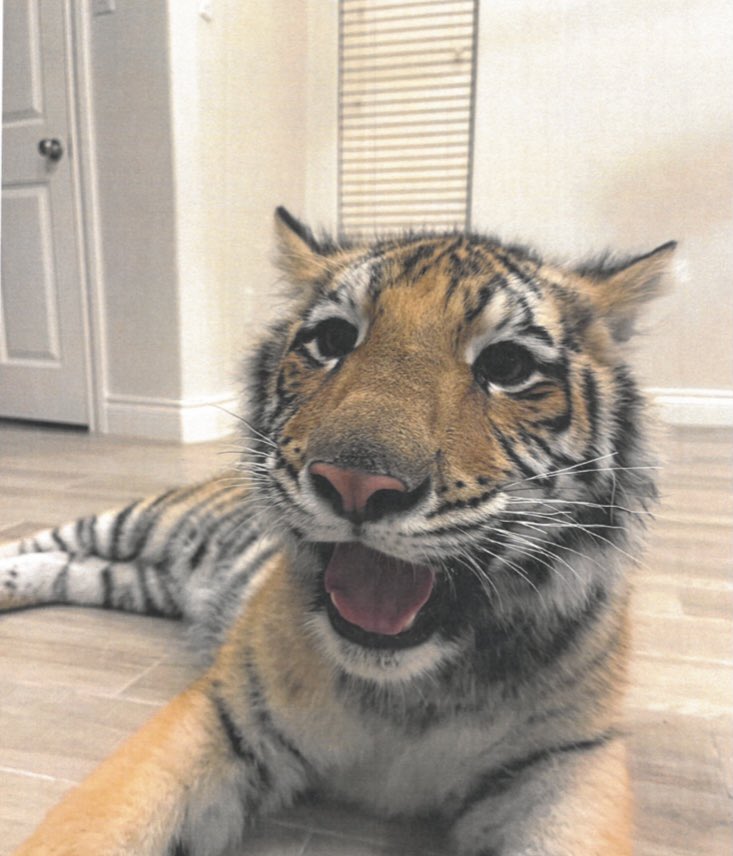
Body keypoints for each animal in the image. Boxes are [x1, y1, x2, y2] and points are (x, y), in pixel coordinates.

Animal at [0, 207, 675, 856]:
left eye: (507, 365)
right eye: (332, 339)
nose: (356, 482)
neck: (408, 690)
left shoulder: (563, 761)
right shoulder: (229, 711)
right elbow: (94, 829)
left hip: (135, 579)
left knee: (71, 569)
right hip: (140, 523)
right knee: (49, 541)